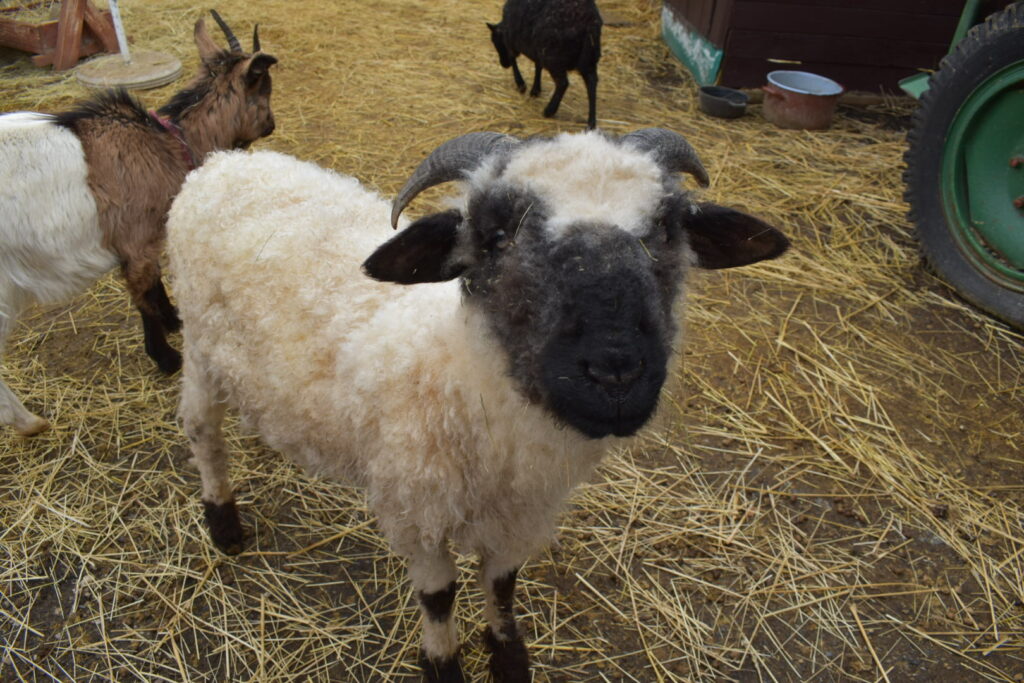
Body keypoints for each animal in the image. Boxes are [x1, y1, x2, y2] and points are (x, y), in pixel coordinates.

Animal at [0, 10, 277, 436]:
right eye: (265, 90)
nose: (272, 124)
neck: (164, 144)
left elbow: (155, 285)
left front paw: (173, 320)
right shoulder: (135, 240)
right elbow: (143, 292)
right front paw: (166, 356)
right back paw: (29, 422)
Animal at [166, 128, 789, 682]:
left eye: (665, 227)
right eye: (495, 236)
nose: (616, 371)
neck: (461, 379)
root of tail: (222, 163)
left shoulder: (517, 516)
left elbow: (503, 586)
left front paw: (509, 661)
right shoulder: (415, 509)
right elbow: (440, 597)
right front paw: (443, 665)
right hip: (198, 346)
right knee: (201, 432)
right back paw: (224, 523)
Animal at [488, 0, 602, 129]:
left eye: (495, 41)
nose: (503, 64)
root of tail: (588, 23)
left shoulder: (511, 41)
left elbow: (514, 60)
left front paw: (521, 85)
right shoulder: (536, 49)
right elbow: (538, 66)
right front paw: (535, 90)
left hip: (555, 57)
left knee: (563, 83)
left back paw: (549, 111)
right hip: (589, 57)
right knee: (592, 82)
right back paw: (591, 122)